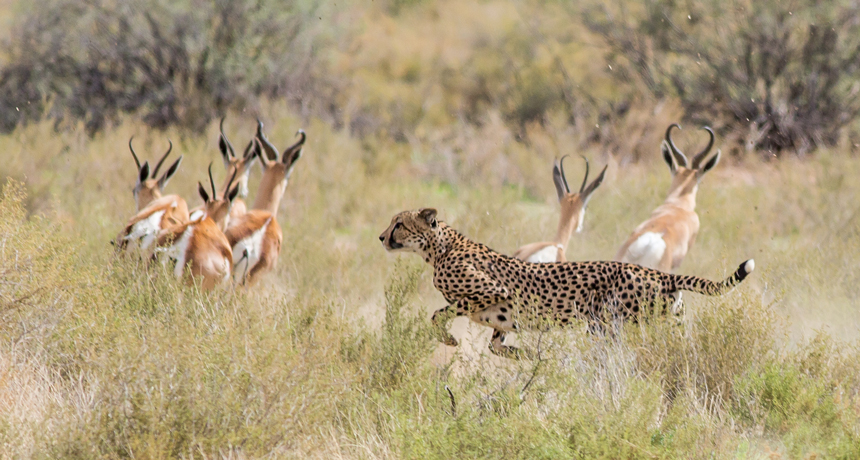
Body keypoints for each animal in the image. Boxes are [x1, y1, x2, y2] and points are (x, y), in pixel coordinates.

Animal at [380, 208, 756, 360]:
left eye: (399, 223)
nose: (382, 237)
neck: (439, 248)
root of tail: (659, 273)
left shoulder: (492, 292)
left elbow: (439, 314)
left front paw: (449, 340)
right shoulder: (501, 317)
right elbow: (495, 345)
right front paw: (528, 355)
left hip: (609, 324)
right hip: (667, 323)